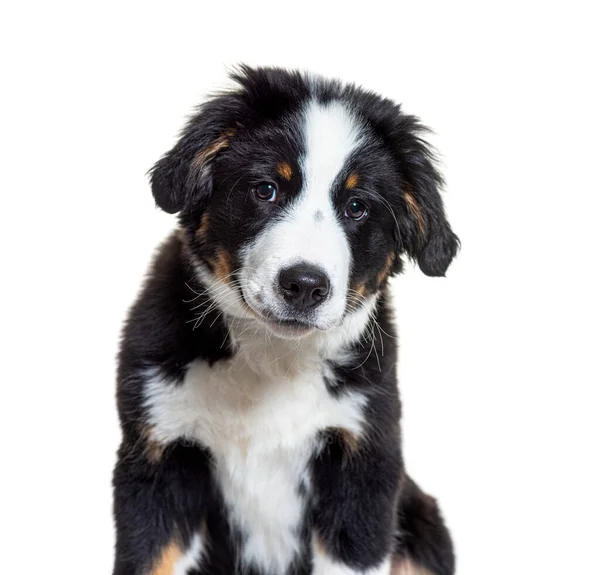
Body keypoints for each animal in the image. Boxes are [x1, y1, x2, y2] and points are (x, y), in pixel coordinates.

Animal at [113, 67, 460, 575]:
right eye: (266, 189)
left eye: (356, 207)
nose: (305, 285)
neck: (272, 357)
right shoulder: (157, 455)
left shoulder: (362, 464)